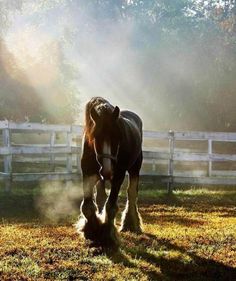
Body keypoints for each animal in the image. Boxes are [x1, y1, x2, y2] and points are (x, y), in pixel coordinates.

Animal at [77, 96, 143, 247]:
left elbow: (111, 206)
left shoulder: (118, 176)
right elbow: (87, 207)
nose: (107, 171)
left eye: (118, 137)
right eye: (95, 136)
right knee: (101, 197)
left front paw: (107, 234)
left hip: (135, 167)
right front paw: (91, 230)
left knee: (132, 193)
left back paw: (131, 224)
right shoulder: (87, 174)